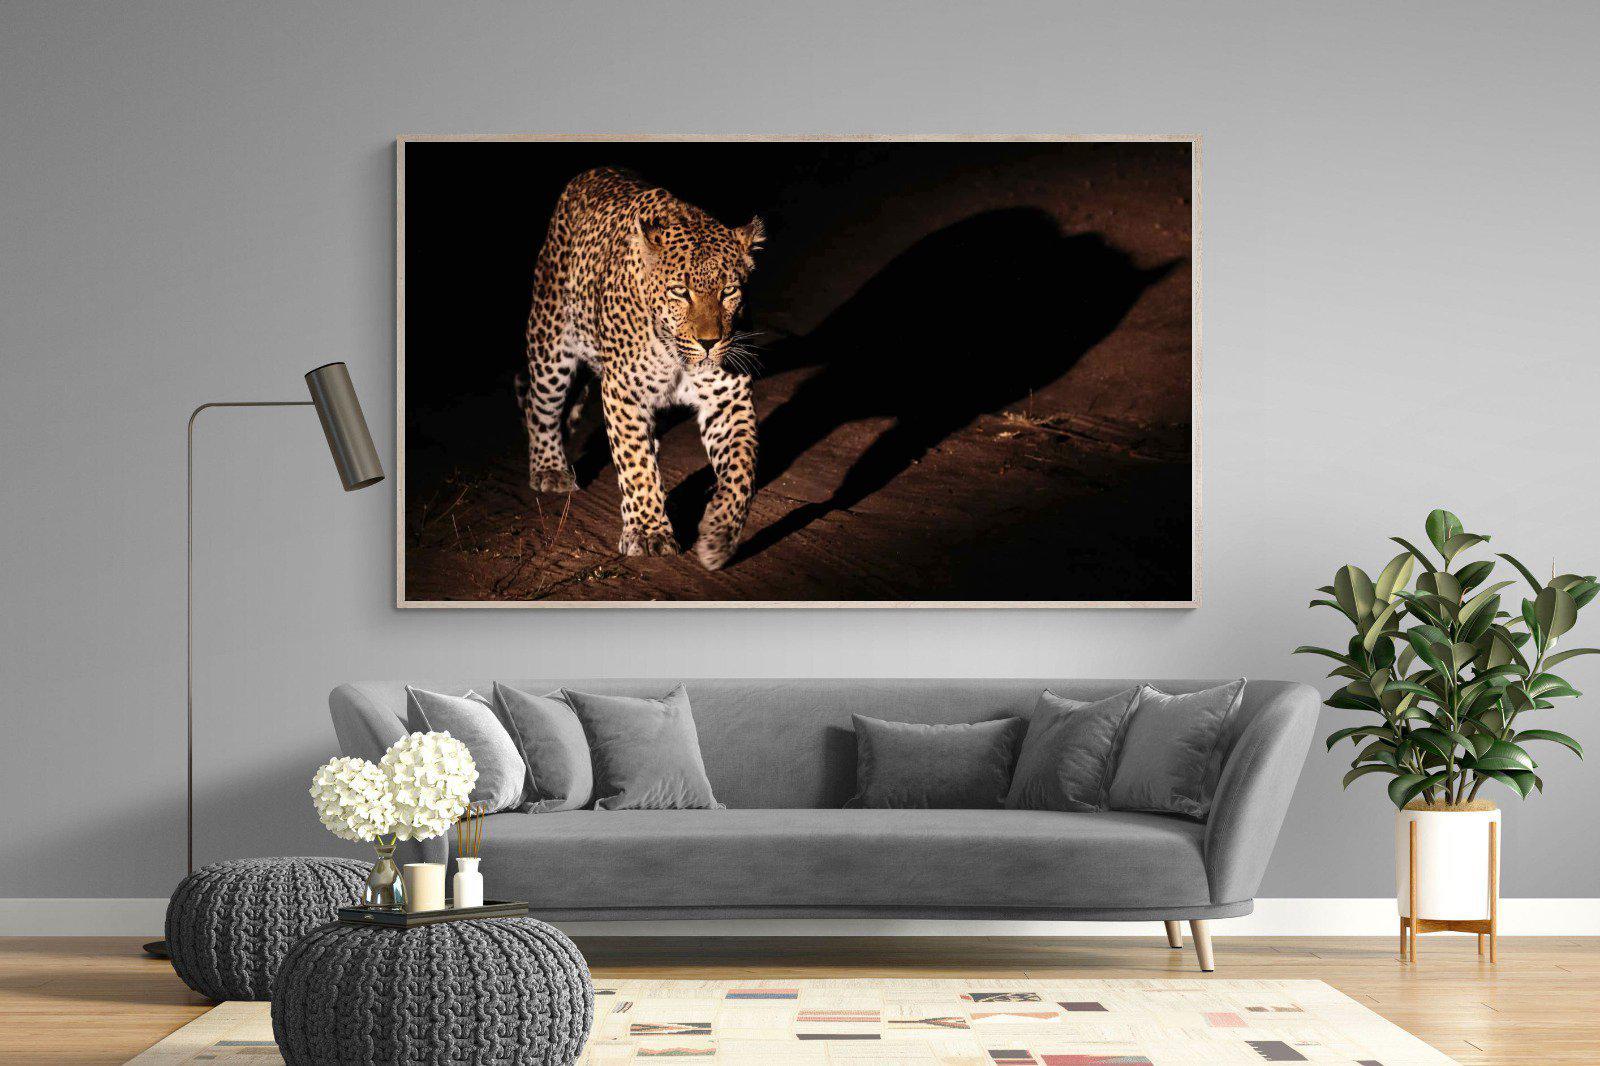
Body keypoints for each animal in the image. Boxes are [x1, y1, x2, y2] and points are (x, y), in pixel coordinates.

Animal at [519, 167, 764, 571]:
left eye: (729, 291)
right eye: (680, 291)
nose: (709, 342)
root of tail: (591, 172)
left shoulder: (728, 399)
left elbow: (741, 469)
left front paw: (718, 535)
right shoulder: (624, 392)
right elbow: (634, 463)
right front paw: (649, 533)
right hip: (550, 343)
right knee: (539, 407)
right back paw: (549, 469)